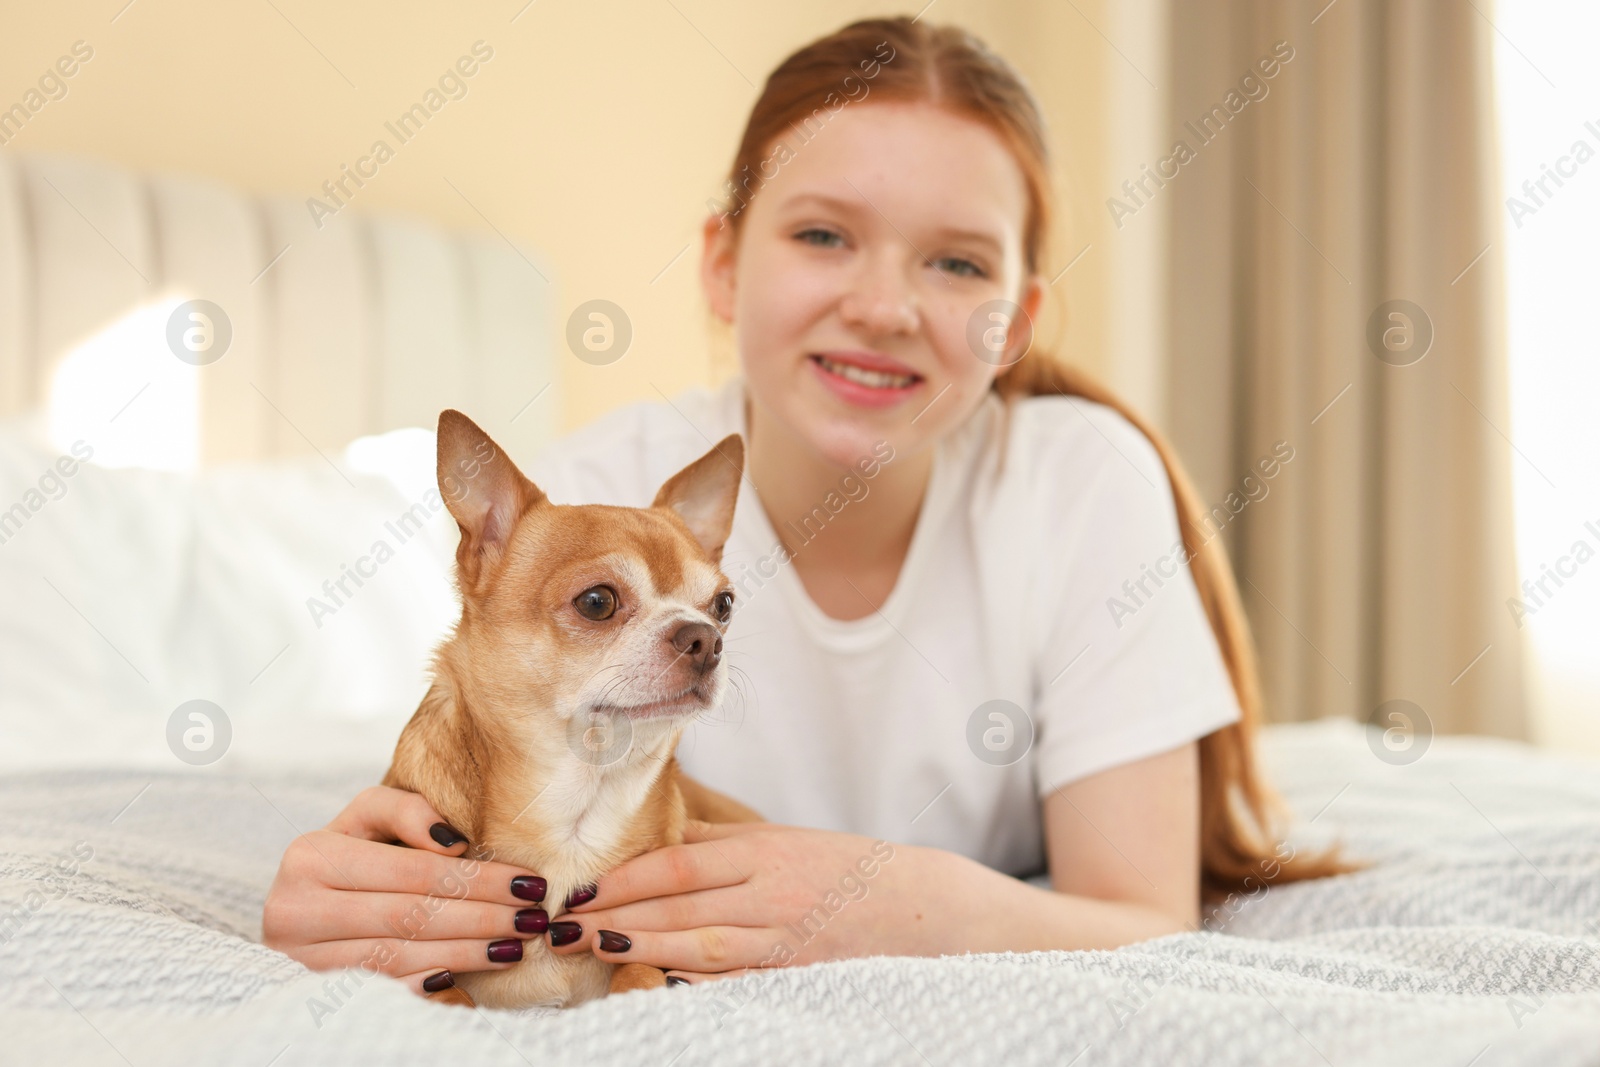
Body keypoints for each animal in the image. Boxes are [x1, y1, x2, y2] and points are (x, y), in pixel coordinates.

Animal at [385, 409, 761, 1011]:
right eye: (597, 601)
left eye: (723, 605)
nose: (706, 638)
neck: (578, 812)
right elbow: (448, 996)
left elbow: (638, 976)